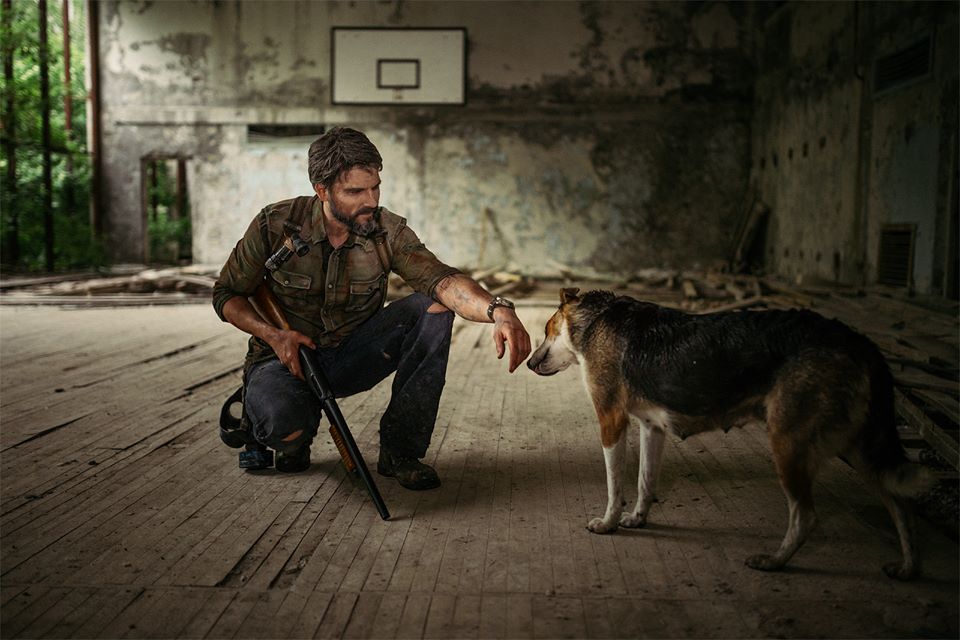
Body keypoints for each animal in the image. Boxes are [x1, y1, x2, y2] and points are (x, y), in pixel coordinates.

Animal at [528, 290, 932, 580]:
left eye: (547, 331)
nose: (529, 364)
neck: (599, 317)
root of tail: (859, 340)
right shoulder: (652, 427)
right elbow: (645, 481)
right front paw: (638, 519)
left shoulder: (611, 420)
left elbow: (616, 485)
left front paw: (608, 524)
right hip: (859, 445)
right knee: (901, 505)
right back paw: (909, 568)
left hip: (789, 442)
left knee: (806, 515)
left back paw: (775, 561)